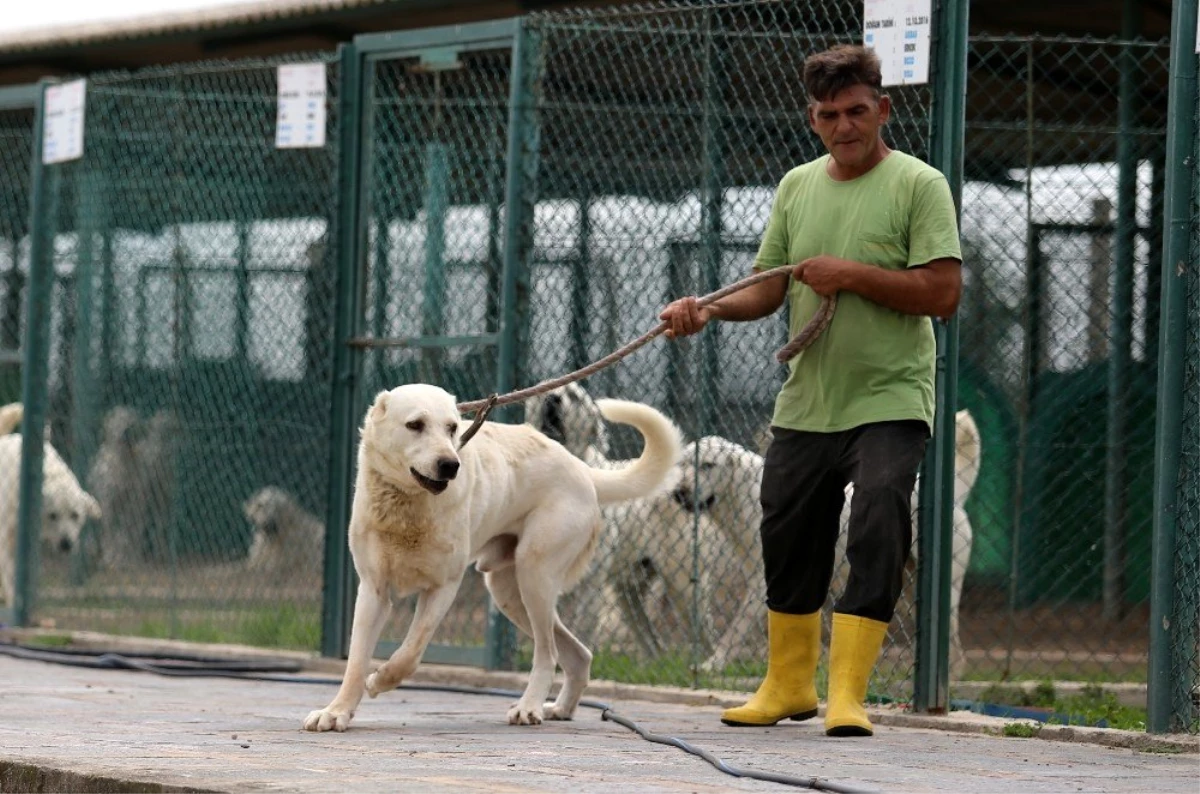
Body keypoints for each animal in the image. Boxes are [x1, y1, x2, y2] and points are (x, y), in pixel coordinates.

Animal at [304, 386, 681, 734]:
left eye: (452, 428)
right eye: (415, 425)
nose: (450, 465)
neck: (408, 506)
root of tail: (583, 469)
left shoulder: (443, 587)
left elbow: (410, 652)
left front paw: (380, 680)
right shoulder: (374, 590)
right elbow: (355, 662)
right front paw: (336, 712)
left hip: (534, 575)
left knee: (548, 653)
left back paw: (529, 707)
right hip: (508, 592)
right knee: (577, 653)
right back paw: (560, 709)